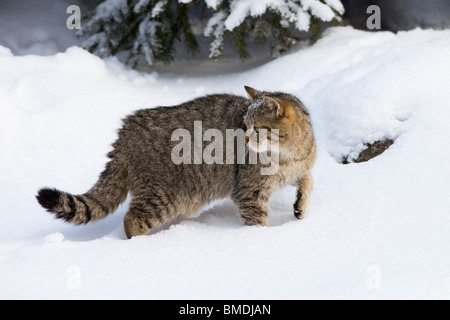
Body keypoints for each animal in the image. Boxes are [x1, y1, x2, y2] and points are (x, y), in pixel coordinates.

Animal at [36, 86, 316, 239]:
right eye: (244, 125)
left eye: (255, 128)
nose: (244, 137)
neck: (289, 153)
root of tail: (126, 131)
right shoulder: (248, 191)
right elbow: (257, 221)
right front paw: (262, 240)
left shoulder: (301, 167)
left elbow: (308, 181)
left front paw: (300, 205)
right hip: (163, 195)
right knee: (131, 219)